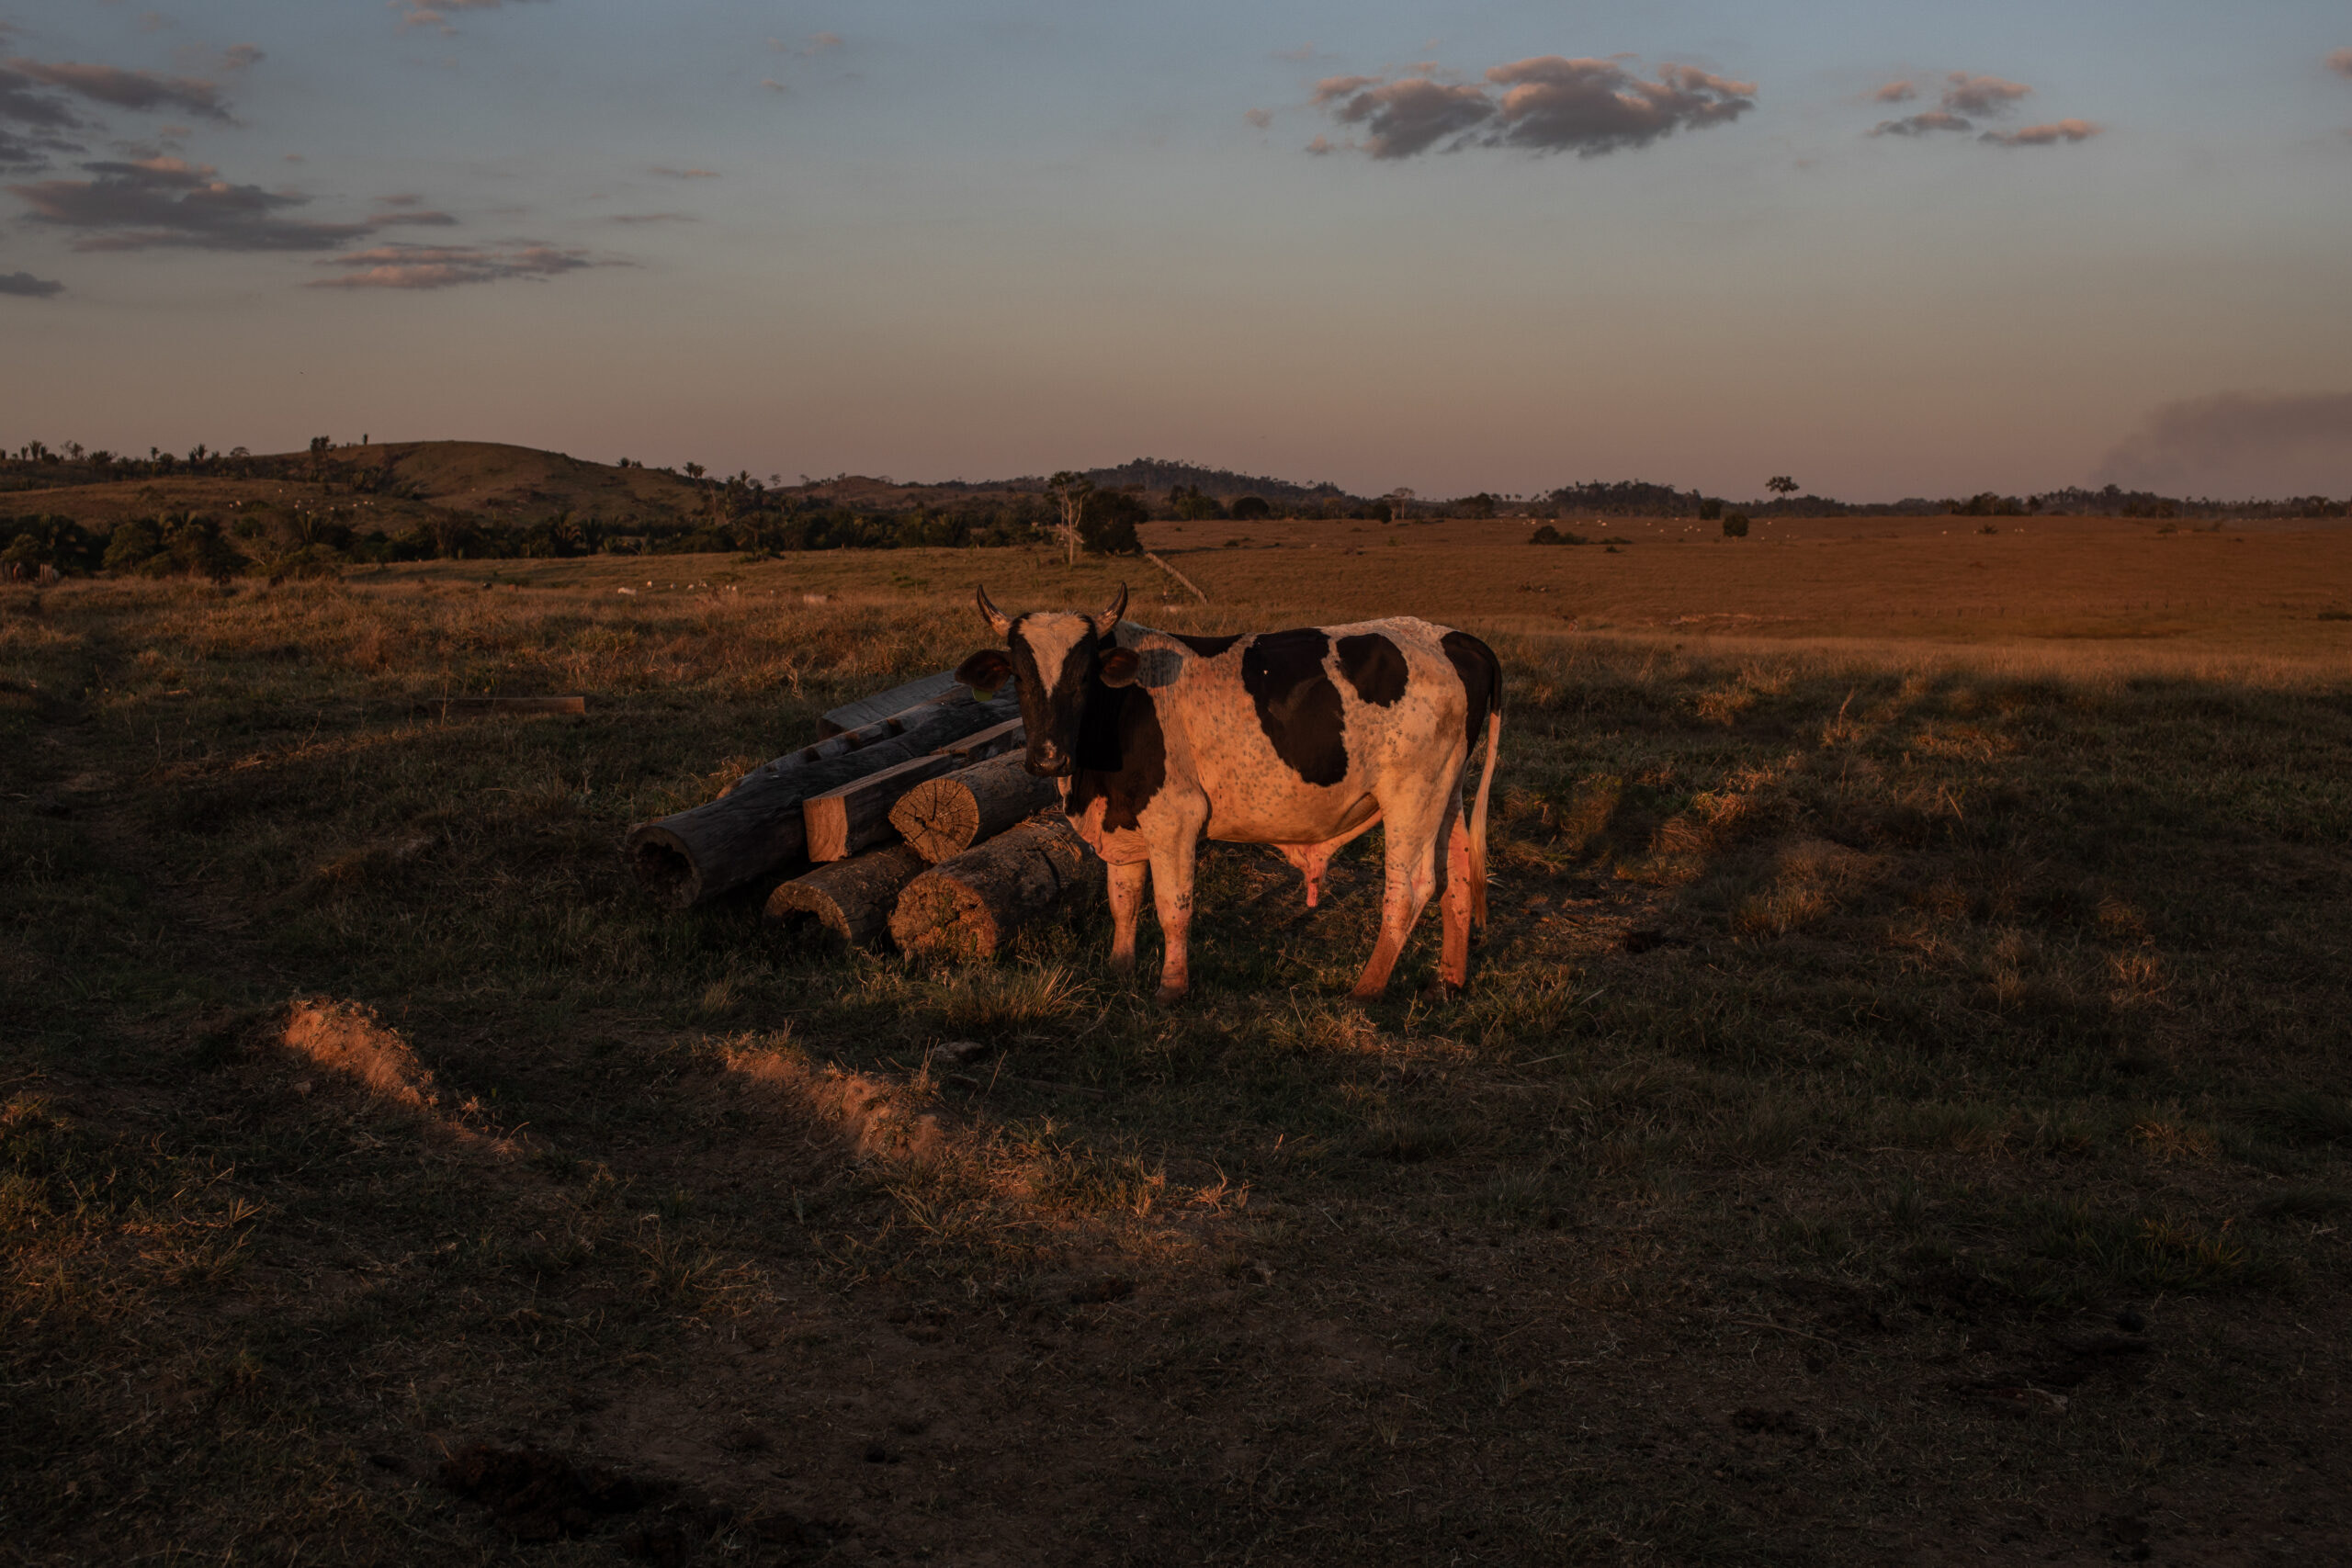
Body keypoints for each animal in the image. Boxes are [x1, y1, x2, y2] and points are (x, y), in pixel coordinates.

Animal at [953, 584, 1502, 1002]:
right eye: (1019, 677)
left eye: (1084, 676)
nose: (1048, 759)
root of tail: (1452, 638)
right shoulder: (1123, 820)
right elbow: (1123, 900)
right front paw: (1119, 970)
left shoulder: (1174, 817)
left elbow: (1173, 906)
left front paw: (1171, 989)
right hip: (1446, 794)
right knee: (1456, 879)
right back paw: (1447, 982)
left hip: (1411, 795)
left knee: (1410, 888)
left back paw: (1366, 989)